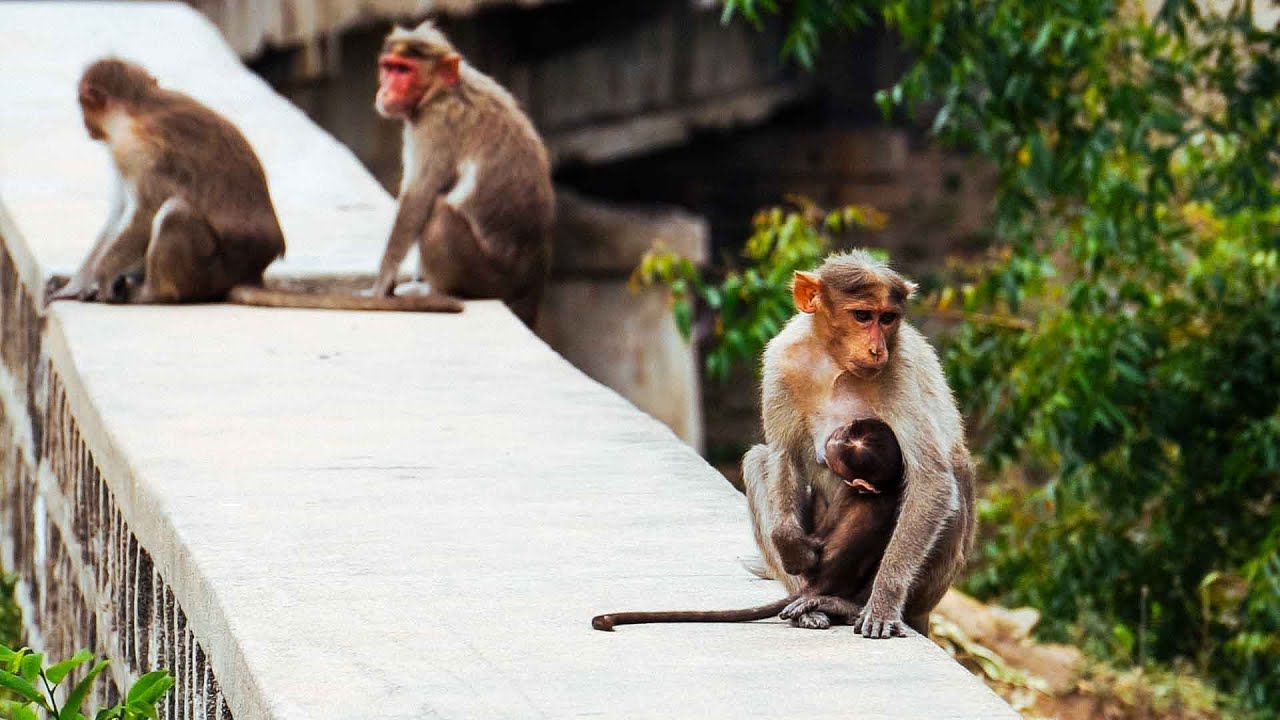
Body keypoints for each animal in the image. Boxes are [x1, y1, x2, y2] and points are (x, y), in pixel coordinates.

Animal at [45, 58, 463, 313]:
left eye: (83, 105)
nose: (85, 125)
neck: (139, 107)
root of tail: (249, 273)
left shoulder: (138, 150)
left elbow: (144, 213)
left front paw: (96, 281)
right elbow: (118, 214)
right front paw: (75, 283)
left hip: (213, 269)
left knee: (175, 213)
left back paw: (152, 294)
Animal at [370, 21, 556, 328]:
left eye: (404, 71)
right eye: (389, 67)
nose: (385, 90)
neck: (442, 90)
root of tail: (531, 284)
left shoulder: (435, 124)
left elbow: (418, 199)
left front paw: (380, 286)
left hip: (488, 277)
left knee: (438, 215)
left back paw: (441, 290)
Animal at [741, 249, 976, 638]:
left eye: (888, 318)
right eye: (862, 316)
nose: (877, 349)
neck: (835, 361)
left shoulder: (900, 367)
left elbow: (933, 480)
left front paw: (882, 604)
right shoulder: (781, 359)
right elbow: (782, 454)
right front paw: (791, 546)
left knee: (952, 471)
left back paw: (846, 605)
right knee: (758, 458)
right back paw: (807, 603)